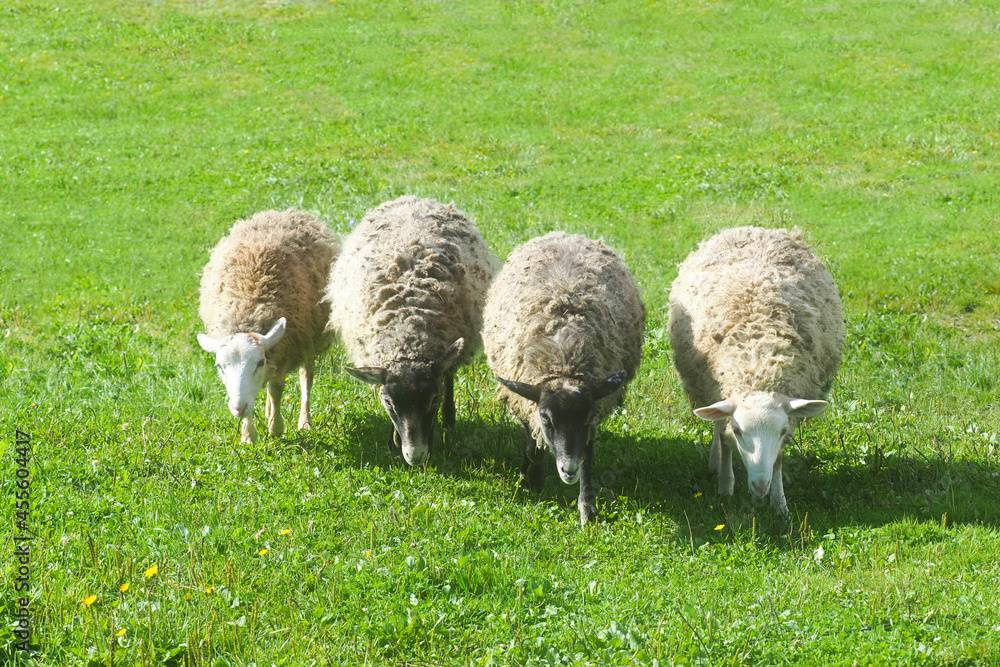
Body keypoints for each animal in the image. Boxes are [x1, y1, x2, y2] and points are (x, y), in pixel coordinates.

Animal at [197, 209, 339, 444]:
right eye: (219, 366)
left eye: (259, 362)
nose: (237, 408)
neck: (248, 306)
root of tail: (286, 212)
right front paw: (248, 435)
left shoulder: (287, 349)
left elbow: (276, 388)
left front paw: (276, 428)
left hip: (309, 340)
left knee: (306, 379)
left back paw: (304, 422)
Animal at [325, 195, 498, 467]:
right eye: (388, 404)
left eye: (433, 400)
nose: (415, 457)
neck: (408, 332)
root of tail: (414, 198)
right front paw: (393, 441)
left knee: (449, 375)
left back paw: (449, 419)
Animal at [482, 232, 645, 525]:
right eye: (546, 417)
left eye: (587, 417)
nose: (568, 471)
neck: (564, 362)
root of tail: (564, 234)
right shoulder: (527, 401)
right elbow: (532, 443)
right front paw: (532, 479)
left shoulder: (594, 411)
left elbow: (587, 455)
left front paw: (586, 505)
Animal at [668, 226, 845, 514]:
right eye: (740, 431)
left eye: (781, 432)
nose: (760, 487)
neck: (757, 366)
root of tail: (752, 229)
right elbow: (725, 439)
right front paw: (725, 486)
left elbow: (779, 458)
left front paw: (779, 502)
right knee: (716, 426)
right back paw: (715, 462)